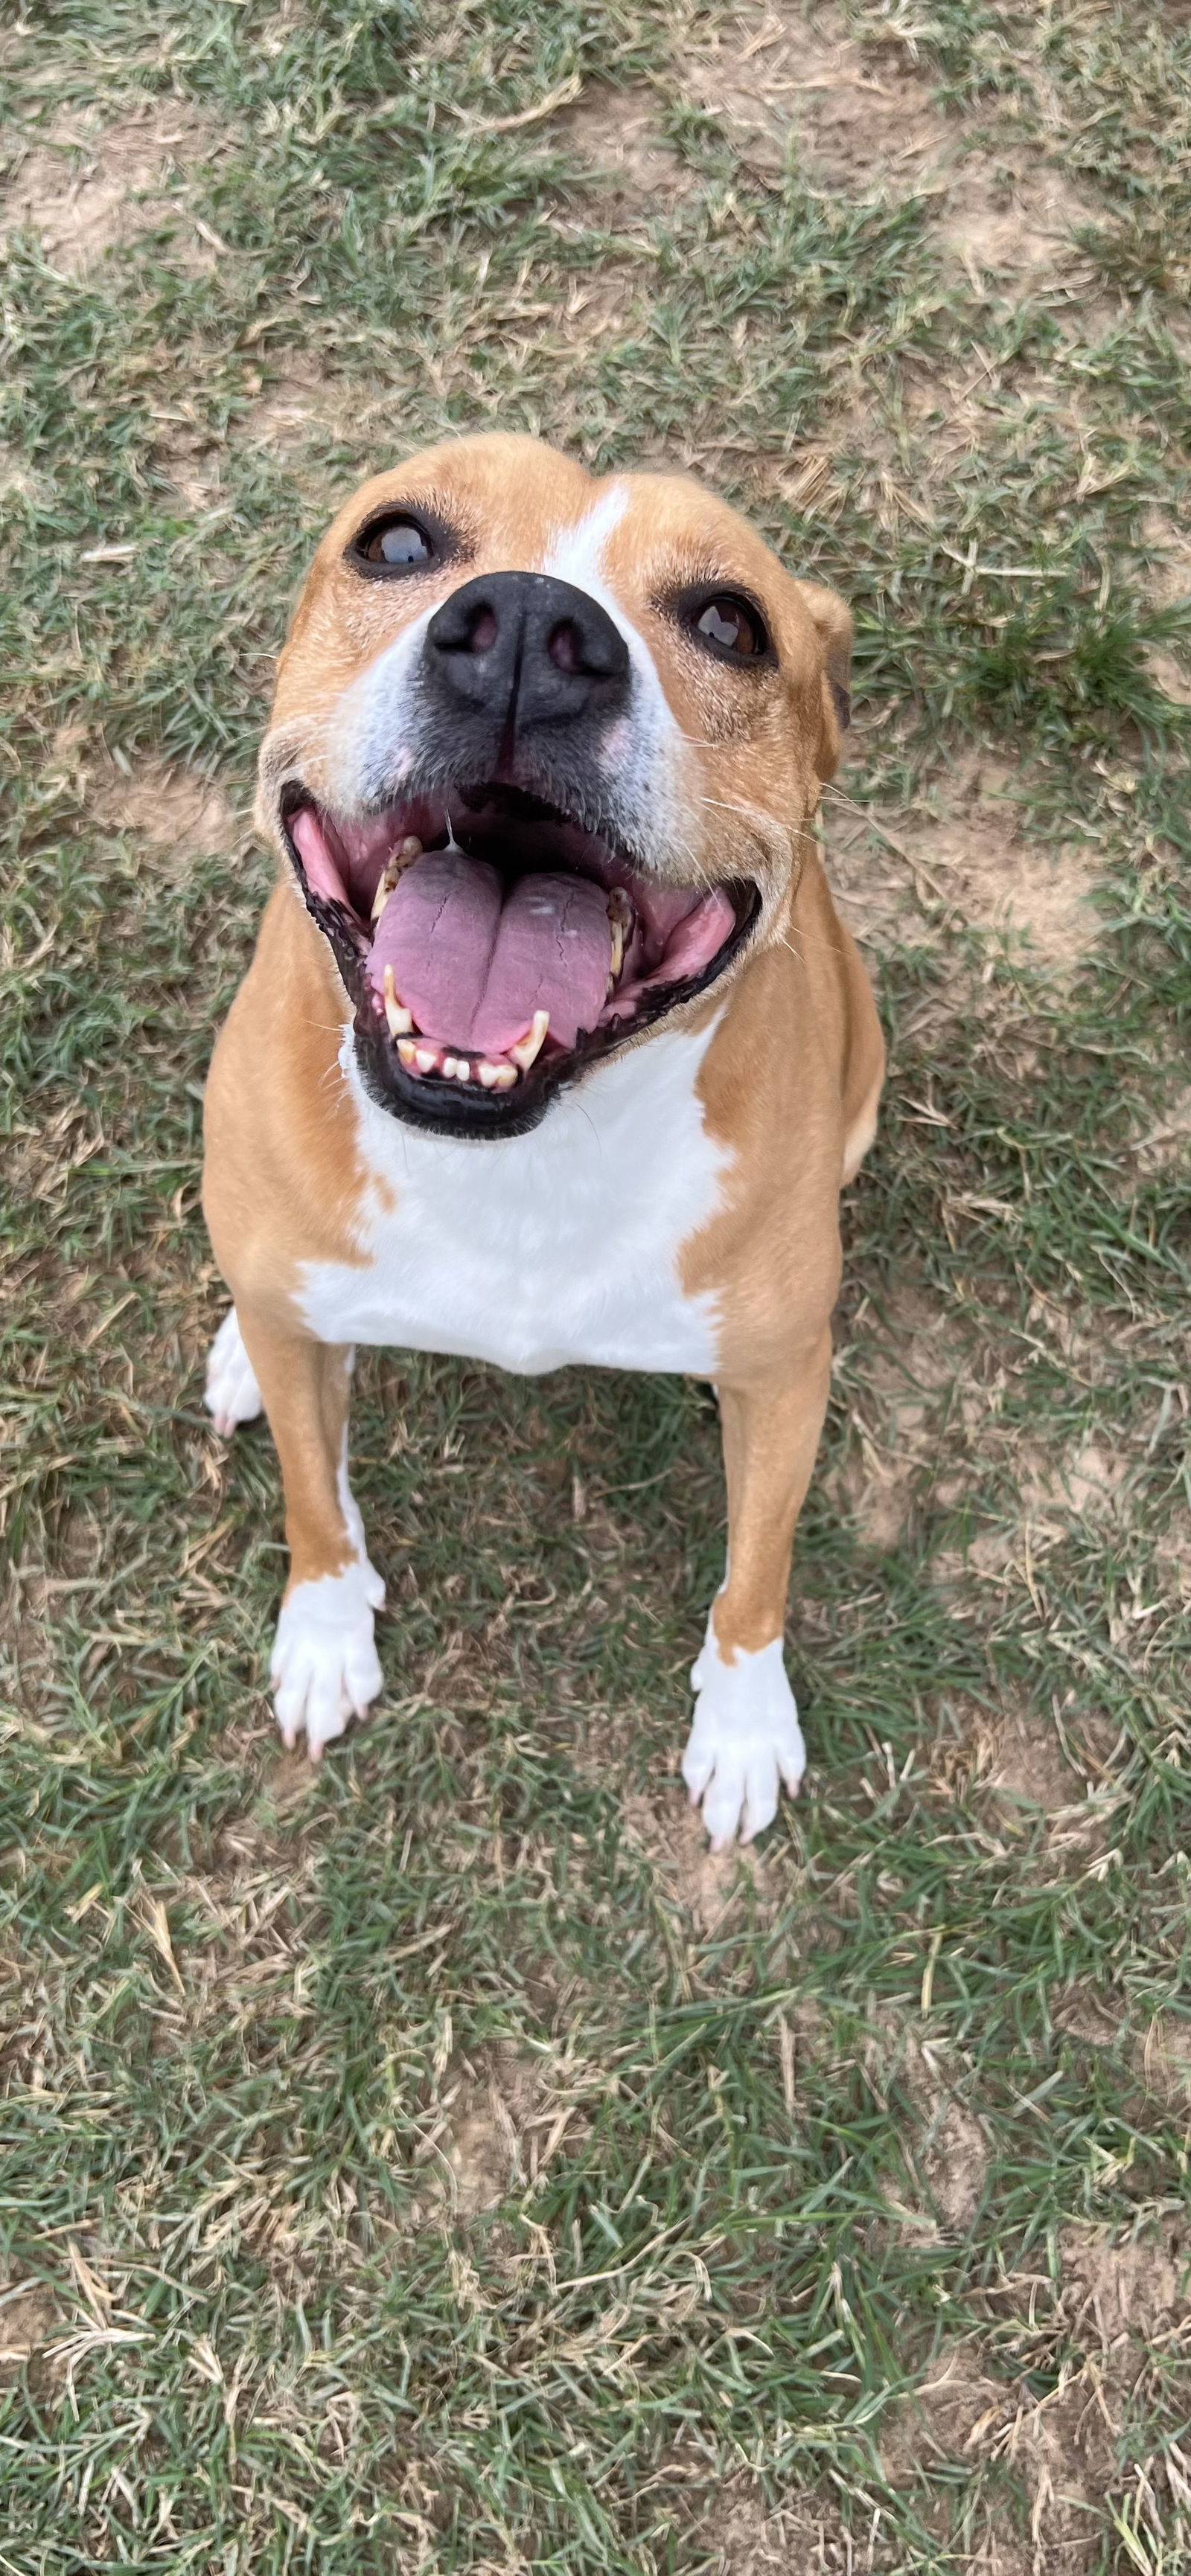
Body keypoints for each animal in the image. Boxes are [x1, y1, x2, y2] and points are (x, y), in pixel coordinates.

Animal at [199, 443, 881, 1854]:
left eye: (730, 622)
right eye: (397, 543)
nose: (525, 632)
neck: (521, 1150)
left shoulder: (787, 1377)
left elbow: (759, 1569)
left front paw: (745, 1723)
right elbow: (311, 1493)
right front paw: (326, 1629)